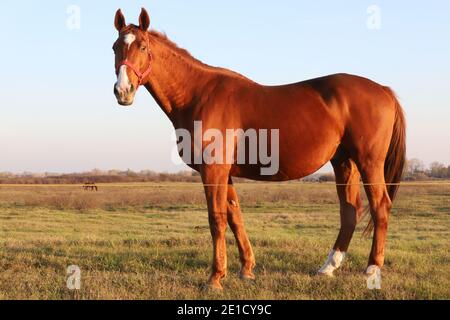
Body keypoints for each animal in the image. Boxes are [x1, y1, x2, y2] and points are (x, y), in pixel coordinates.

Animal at [113, 8, 408, 290]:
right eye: (115, 47)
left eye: (142, 47)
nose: (122, 91)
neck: (200, 95)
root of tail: (383, 90)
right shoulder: (225, 173)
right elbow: (235, 217)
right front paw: (246, 269)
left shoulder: (213, 171)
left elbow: (217, 220)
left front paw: (215, 278)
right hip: (344, 162)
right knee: (349, 211)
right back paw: (328, 267)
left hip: (369, 162)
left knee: (380, 207)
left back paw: (372, 269)